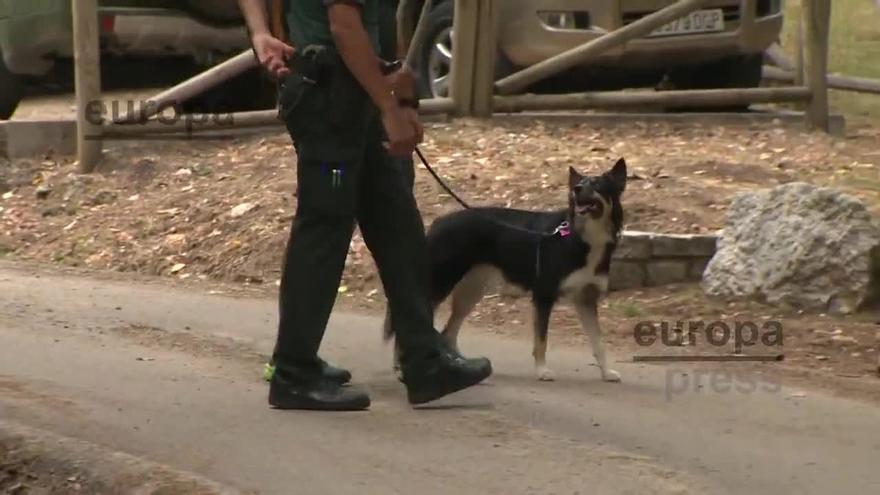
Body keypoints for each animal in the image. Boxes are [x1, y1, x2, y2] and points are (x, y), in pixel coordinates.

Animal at [384, 159, 624, 384]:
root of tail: (438, 222)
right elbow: (541, 341)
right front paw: (542, 371)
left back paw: (463, 366)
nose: (576, 190)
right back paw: (401, 367)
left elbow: (598, 342)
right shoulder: (543, 296)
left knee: (448, 333)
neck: (582, 237)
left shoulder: (586, 299)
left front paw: (606, 373)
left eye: (596, 184)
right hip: (441, 284)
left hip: (471, 292)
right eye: (579, 184)